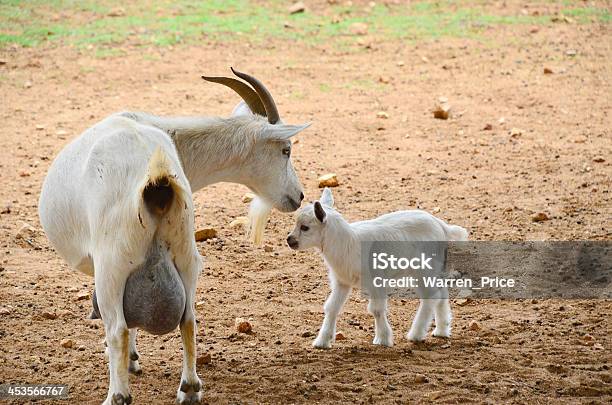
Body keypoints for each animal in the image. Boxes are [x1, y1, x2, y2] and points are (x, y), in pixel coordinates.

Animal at [37, 69, 310, 404]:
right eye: (286, 150)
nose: (298, 196)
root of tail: (157, 178)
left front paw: (130, 361)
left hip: (111, 267)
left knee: (117, 329)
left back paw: (117, 395)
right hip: (186, 254)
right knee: (188, 319)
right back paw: (189, 389)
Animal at [286, 188, 468, 348]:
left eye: (305, 227)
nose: (289, 240)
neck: (349, 243)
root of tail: (441, 225)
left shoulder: (376, 280)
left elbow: (376, 309)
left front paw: (383, 339)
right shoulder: (342, 281)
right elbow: (331, 307)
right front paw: (322, 341)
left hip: (423, 270)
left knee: (431, 297)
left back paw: (416, 334)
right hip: (433, 268)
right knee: (441, 293)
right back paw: (442, 330)